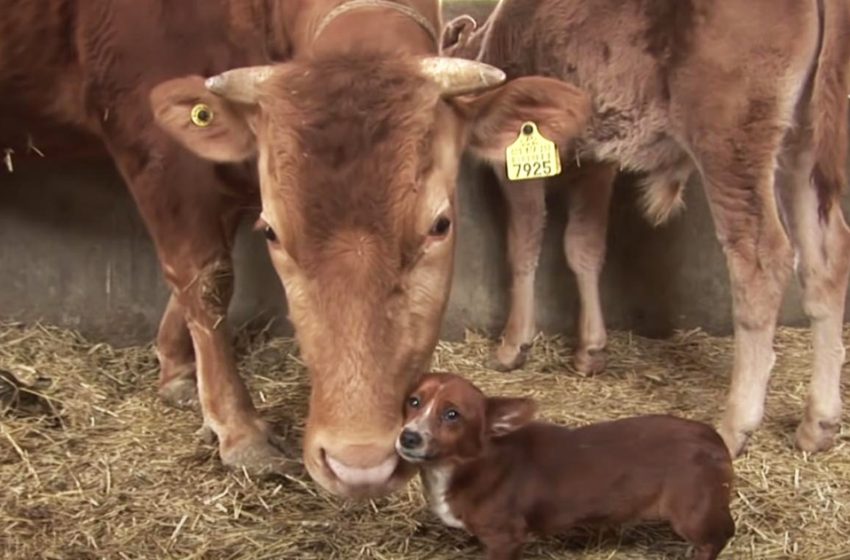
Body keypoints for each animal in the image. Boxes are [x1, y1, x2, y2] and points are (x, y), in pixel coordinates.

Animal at [0, 0, 592, 498]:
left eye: (441, 225)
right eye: (273, 234)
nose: (359, 464)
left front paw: (176, 367)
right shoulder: (154, 141)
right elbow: (203, 273)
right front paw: (238, 429)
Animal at [394, 372, 732, 560]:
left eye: (452, 414)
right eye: (413, 401)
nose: (408, 437)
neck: (469, 464)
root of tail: (714, 439)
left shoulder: (506, 538)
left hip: (691, 513)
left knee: (719, 536)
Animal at [440, 0, 848, 460]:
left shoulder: (521, 161)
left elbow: (524, 243)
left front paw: (512, 345)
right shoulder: (596, 159)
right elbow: (583, 246)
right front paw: (590, 349)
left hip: (730, 141)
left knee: (762, 259)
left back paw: (735, 424)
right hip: (804, 144)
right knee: (826, 259)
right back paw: (818, 423)